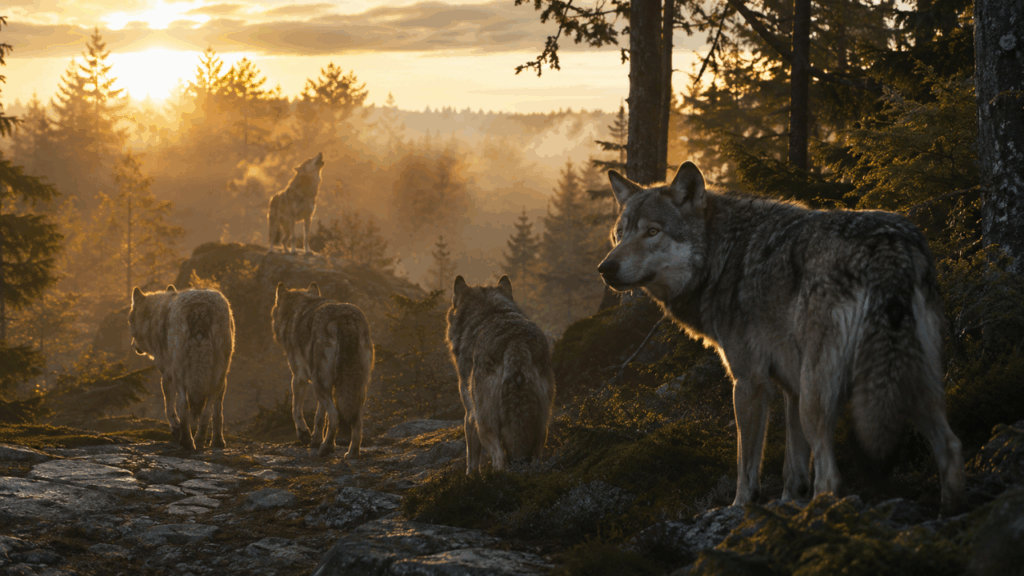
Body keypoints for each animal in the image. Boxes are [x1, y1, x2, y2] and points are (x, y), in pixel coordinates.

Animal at [128, 286, 235, 450]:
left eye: (129, 321)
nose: (133, 346)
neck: (154, 317)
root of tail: (200, 309)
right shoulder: (224, 381)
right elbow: (218, 412)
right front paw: (217, 441)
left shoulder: (166, 375)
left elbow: (169, 408)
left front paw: (176, 428)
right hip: (219, 373)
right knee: (207, 409)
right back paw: (203, 439)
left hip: (180, 373)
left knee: (183, 404)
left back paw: (186, 442)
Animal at [272, 282, 373, 458]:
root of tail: (345, 319)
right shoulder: (322, 384)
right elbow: (319, 416)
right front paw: (315, 440)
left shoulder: (299, 378)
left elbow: (296, 409)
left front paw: (304, 435)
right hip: (356, 389)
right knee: (357, 421)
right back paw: (351, 453)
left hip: (320, 385)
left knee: (335, 415)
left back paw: (327, 447)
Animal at [446, 275, 555, 472]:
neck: (491, 311)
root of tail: (516, 342)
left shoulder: (469, 416)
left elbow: (471, 462)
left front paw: (471, 477)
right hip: (543, 424)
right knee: (536, 458)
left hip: (484, 424)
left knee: (500, 459)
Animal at [597, 162, 967, 516]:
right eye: (620, 234)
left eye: (652, 231)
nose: (605, 268)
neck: (724, 256)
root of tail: (887, 247)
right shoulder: (791, 386)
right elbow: (794, 464)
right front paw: (788, 502)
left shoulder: (750, 383)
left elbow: (746, 463)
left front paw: (740, 507)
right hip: (913, 382)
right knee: (951, 447)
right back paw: (947, 512)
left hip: (818, 396)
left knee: (830, 476)